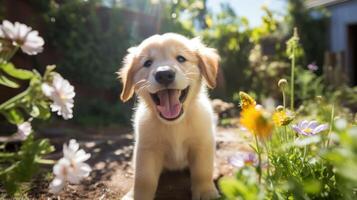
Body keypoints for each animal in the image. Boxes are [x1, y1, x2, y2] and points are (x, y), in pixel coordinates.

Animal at [119, 32, 220, 200]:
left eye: (181, 58)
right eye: (147, 63)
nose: (164, 74)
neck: (175, 124)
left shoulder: (202, 143)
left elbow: (202, 171)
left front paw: (206, 192)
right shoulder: (147, 150)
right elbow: (143, 179)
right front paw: (138, 195)